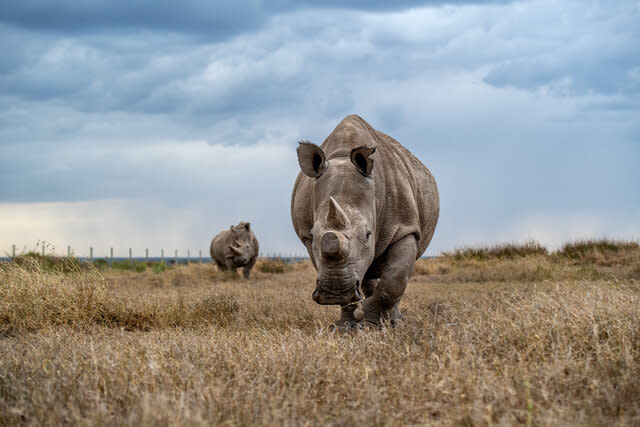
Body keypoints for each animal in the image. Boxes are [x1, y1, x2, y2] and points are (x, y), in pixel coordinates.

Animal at [292, 114, 438, 328]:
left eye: (368, 235)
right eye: (313, 235)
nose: (335, 291)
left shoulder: (405, 227)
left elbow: (395, 279)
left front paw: (369, 322)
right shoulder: (307, 239)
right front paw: (347, 327)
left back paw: (393, 322)